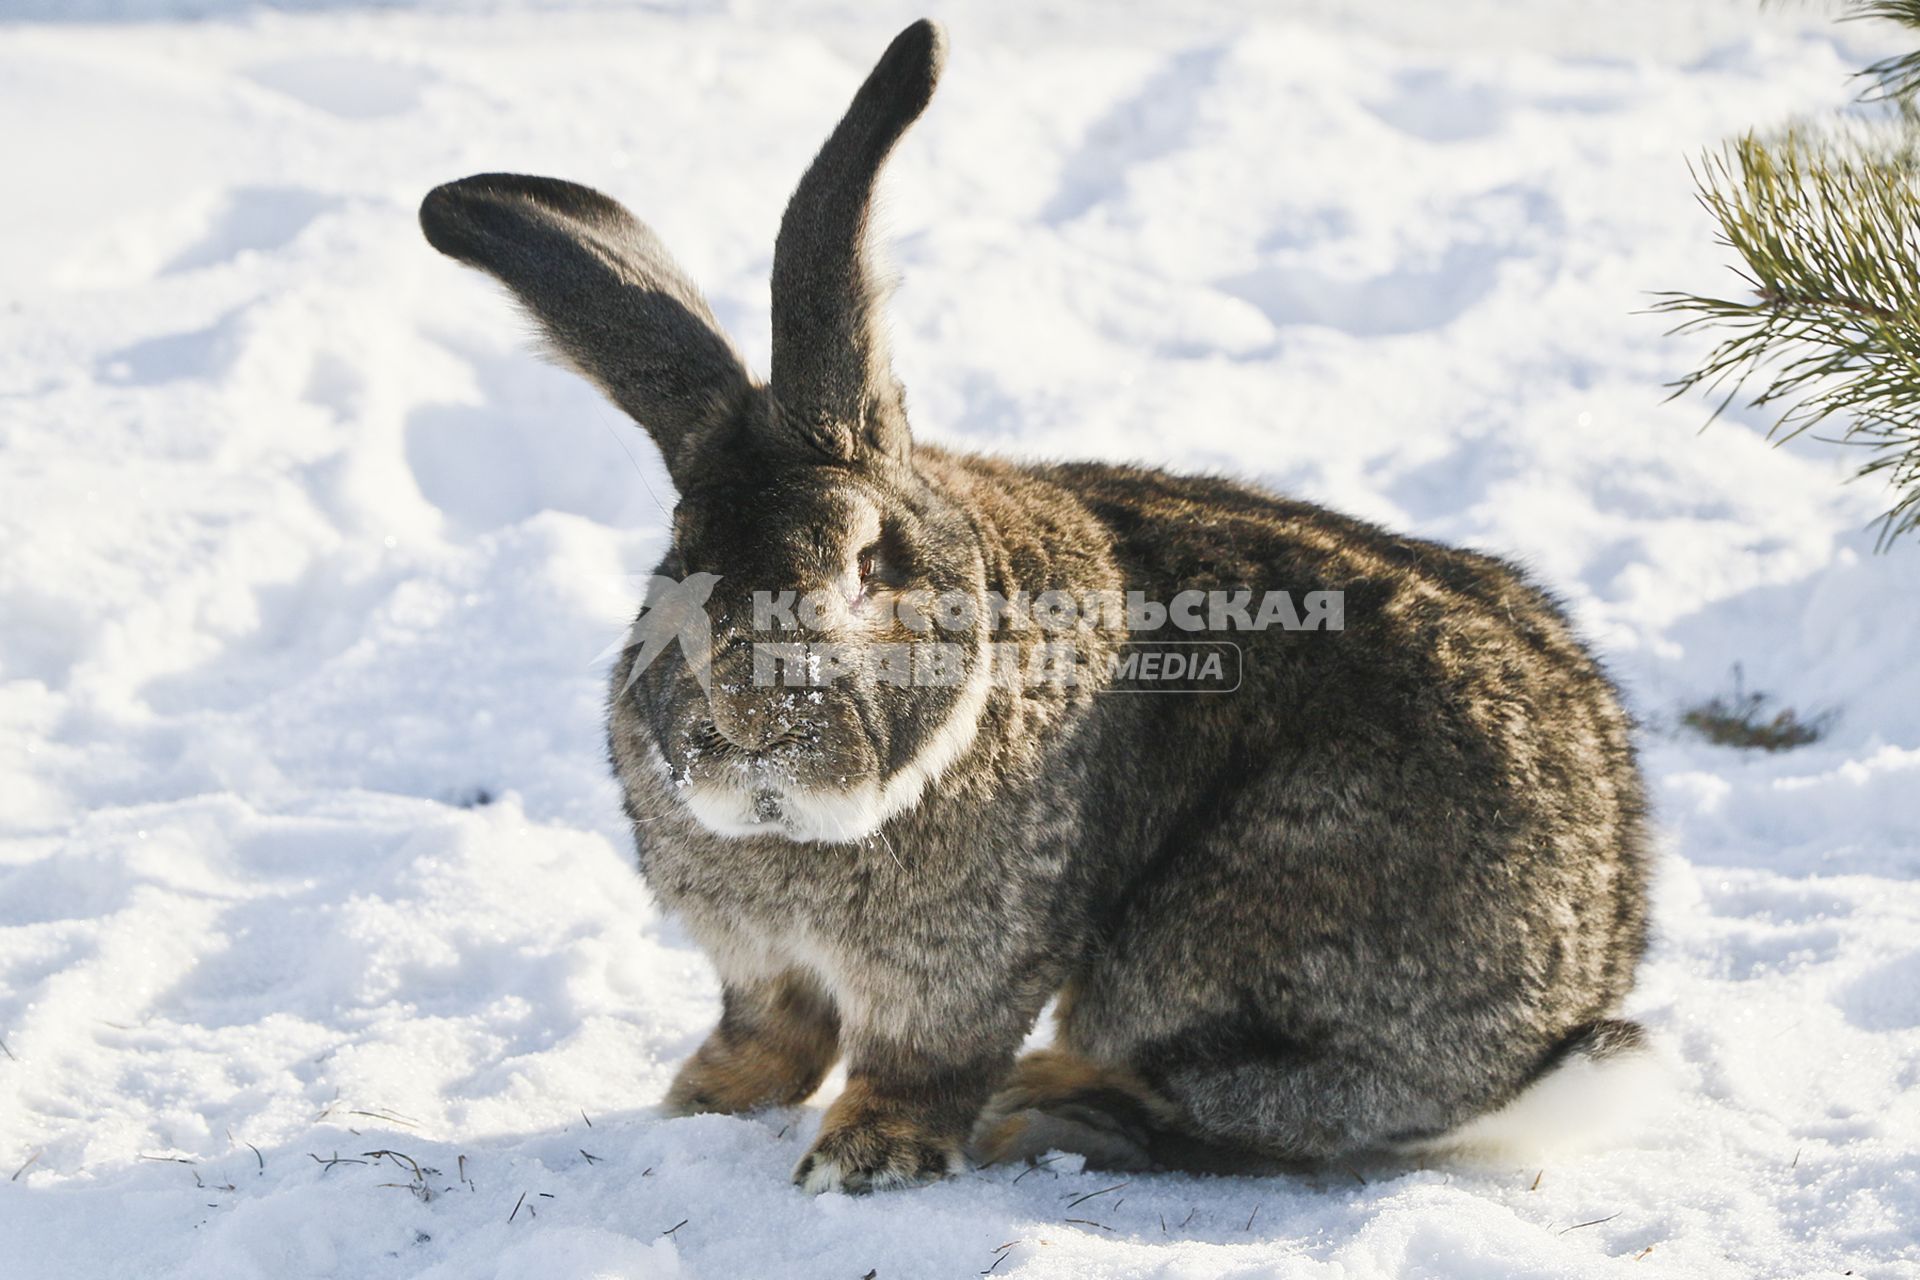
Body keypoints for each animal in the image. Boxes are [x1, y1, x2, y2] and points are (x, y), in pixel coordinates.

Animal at [416, 14, 1651, 1197]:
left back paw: (1059, 1105)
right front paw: (698, 1106)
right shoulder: (757, 960)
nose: (750, 726)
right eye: (678, 556)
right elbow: (771, 1034)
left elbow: (919, 1064)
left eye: (867, 562)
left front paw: (861, 1162)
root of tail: (1564, 1020)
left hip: (1230, 928)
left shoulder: (964, 964)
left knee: (1263, 1106)